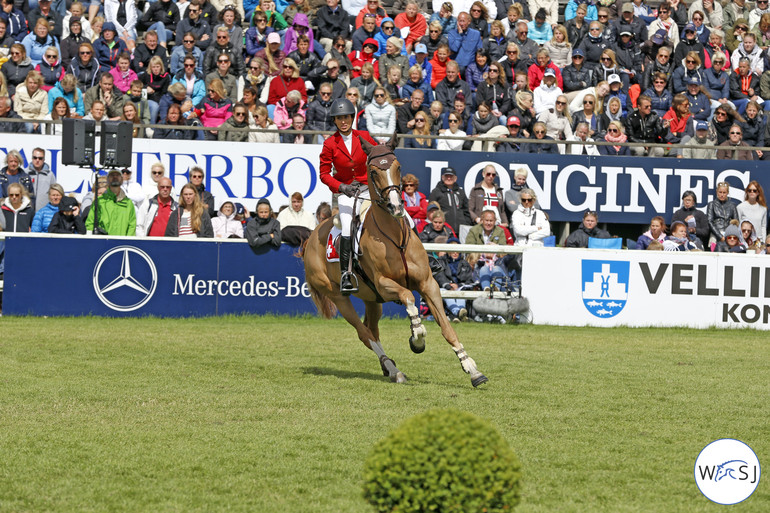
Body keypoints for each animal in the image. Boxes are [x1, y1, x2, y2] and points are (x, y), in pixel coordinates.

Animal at [300, 136, 486, 384]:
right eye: (373, 170)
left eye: (398, 167)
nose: (396, 206)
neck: (394, 236)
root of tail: (310, 239)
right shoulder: (384, 284)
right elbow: (408, 298)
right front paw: (417, 338)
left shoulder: (428, 283)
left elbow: (446, 327)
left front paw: (472, 369)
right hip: (340, 297)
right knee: (364, 334)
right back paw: (394, 370)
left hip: (372, 299)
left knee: (371, 329)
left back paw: (389, 368)